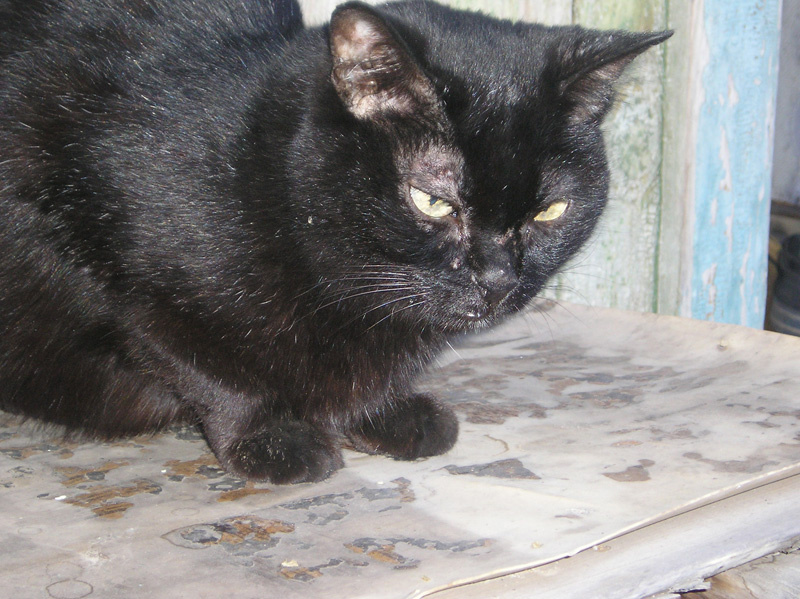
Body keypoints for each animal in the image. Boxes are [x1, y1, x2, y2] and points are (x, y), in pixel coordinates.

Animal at [0, 0, 670, 483]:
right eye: (432, 201)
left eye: (550, 211)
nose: (500, 279)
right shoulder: (114, 267)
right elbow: (206, 368)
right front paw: (270, 438)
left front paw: (381, 412)